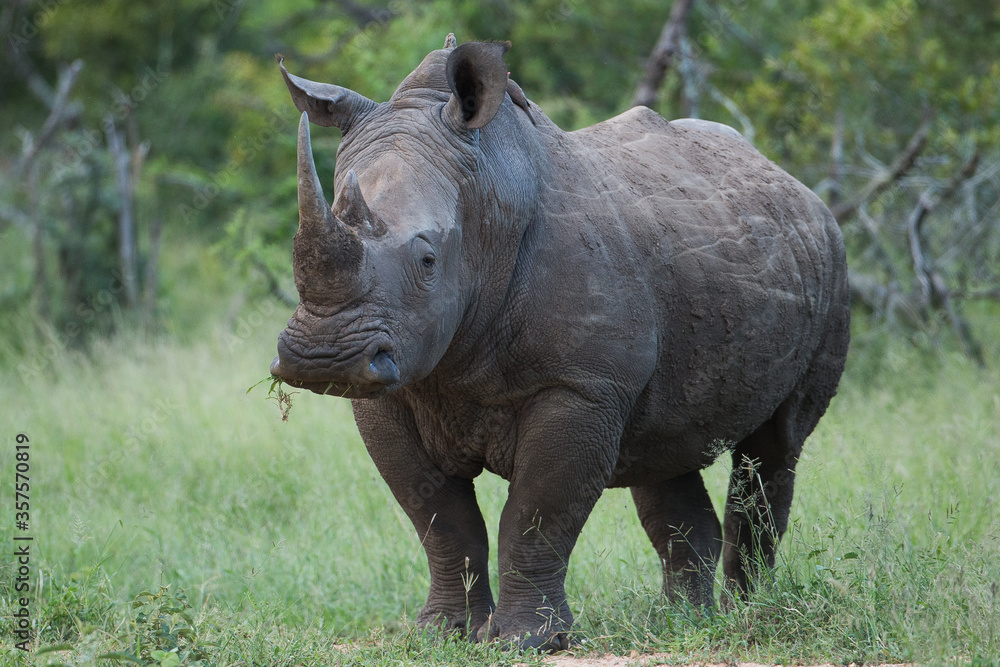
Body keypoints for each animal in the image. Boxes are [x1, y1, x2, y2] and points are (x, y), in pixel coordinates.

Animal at [269, 35, 849, 650]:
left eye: (427, 260)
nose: (323, 358)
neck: (488, 205)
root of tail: (798, 187)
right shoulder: (394, 389)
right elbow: (440, 519)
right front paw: (445, 634)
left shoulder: (581, 387)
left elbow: (536, 514)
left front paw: (526, 641)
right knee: (665, 451)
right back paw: (683, 624)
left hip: (832, 265)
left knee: (775, 448)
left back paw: (749, 614)